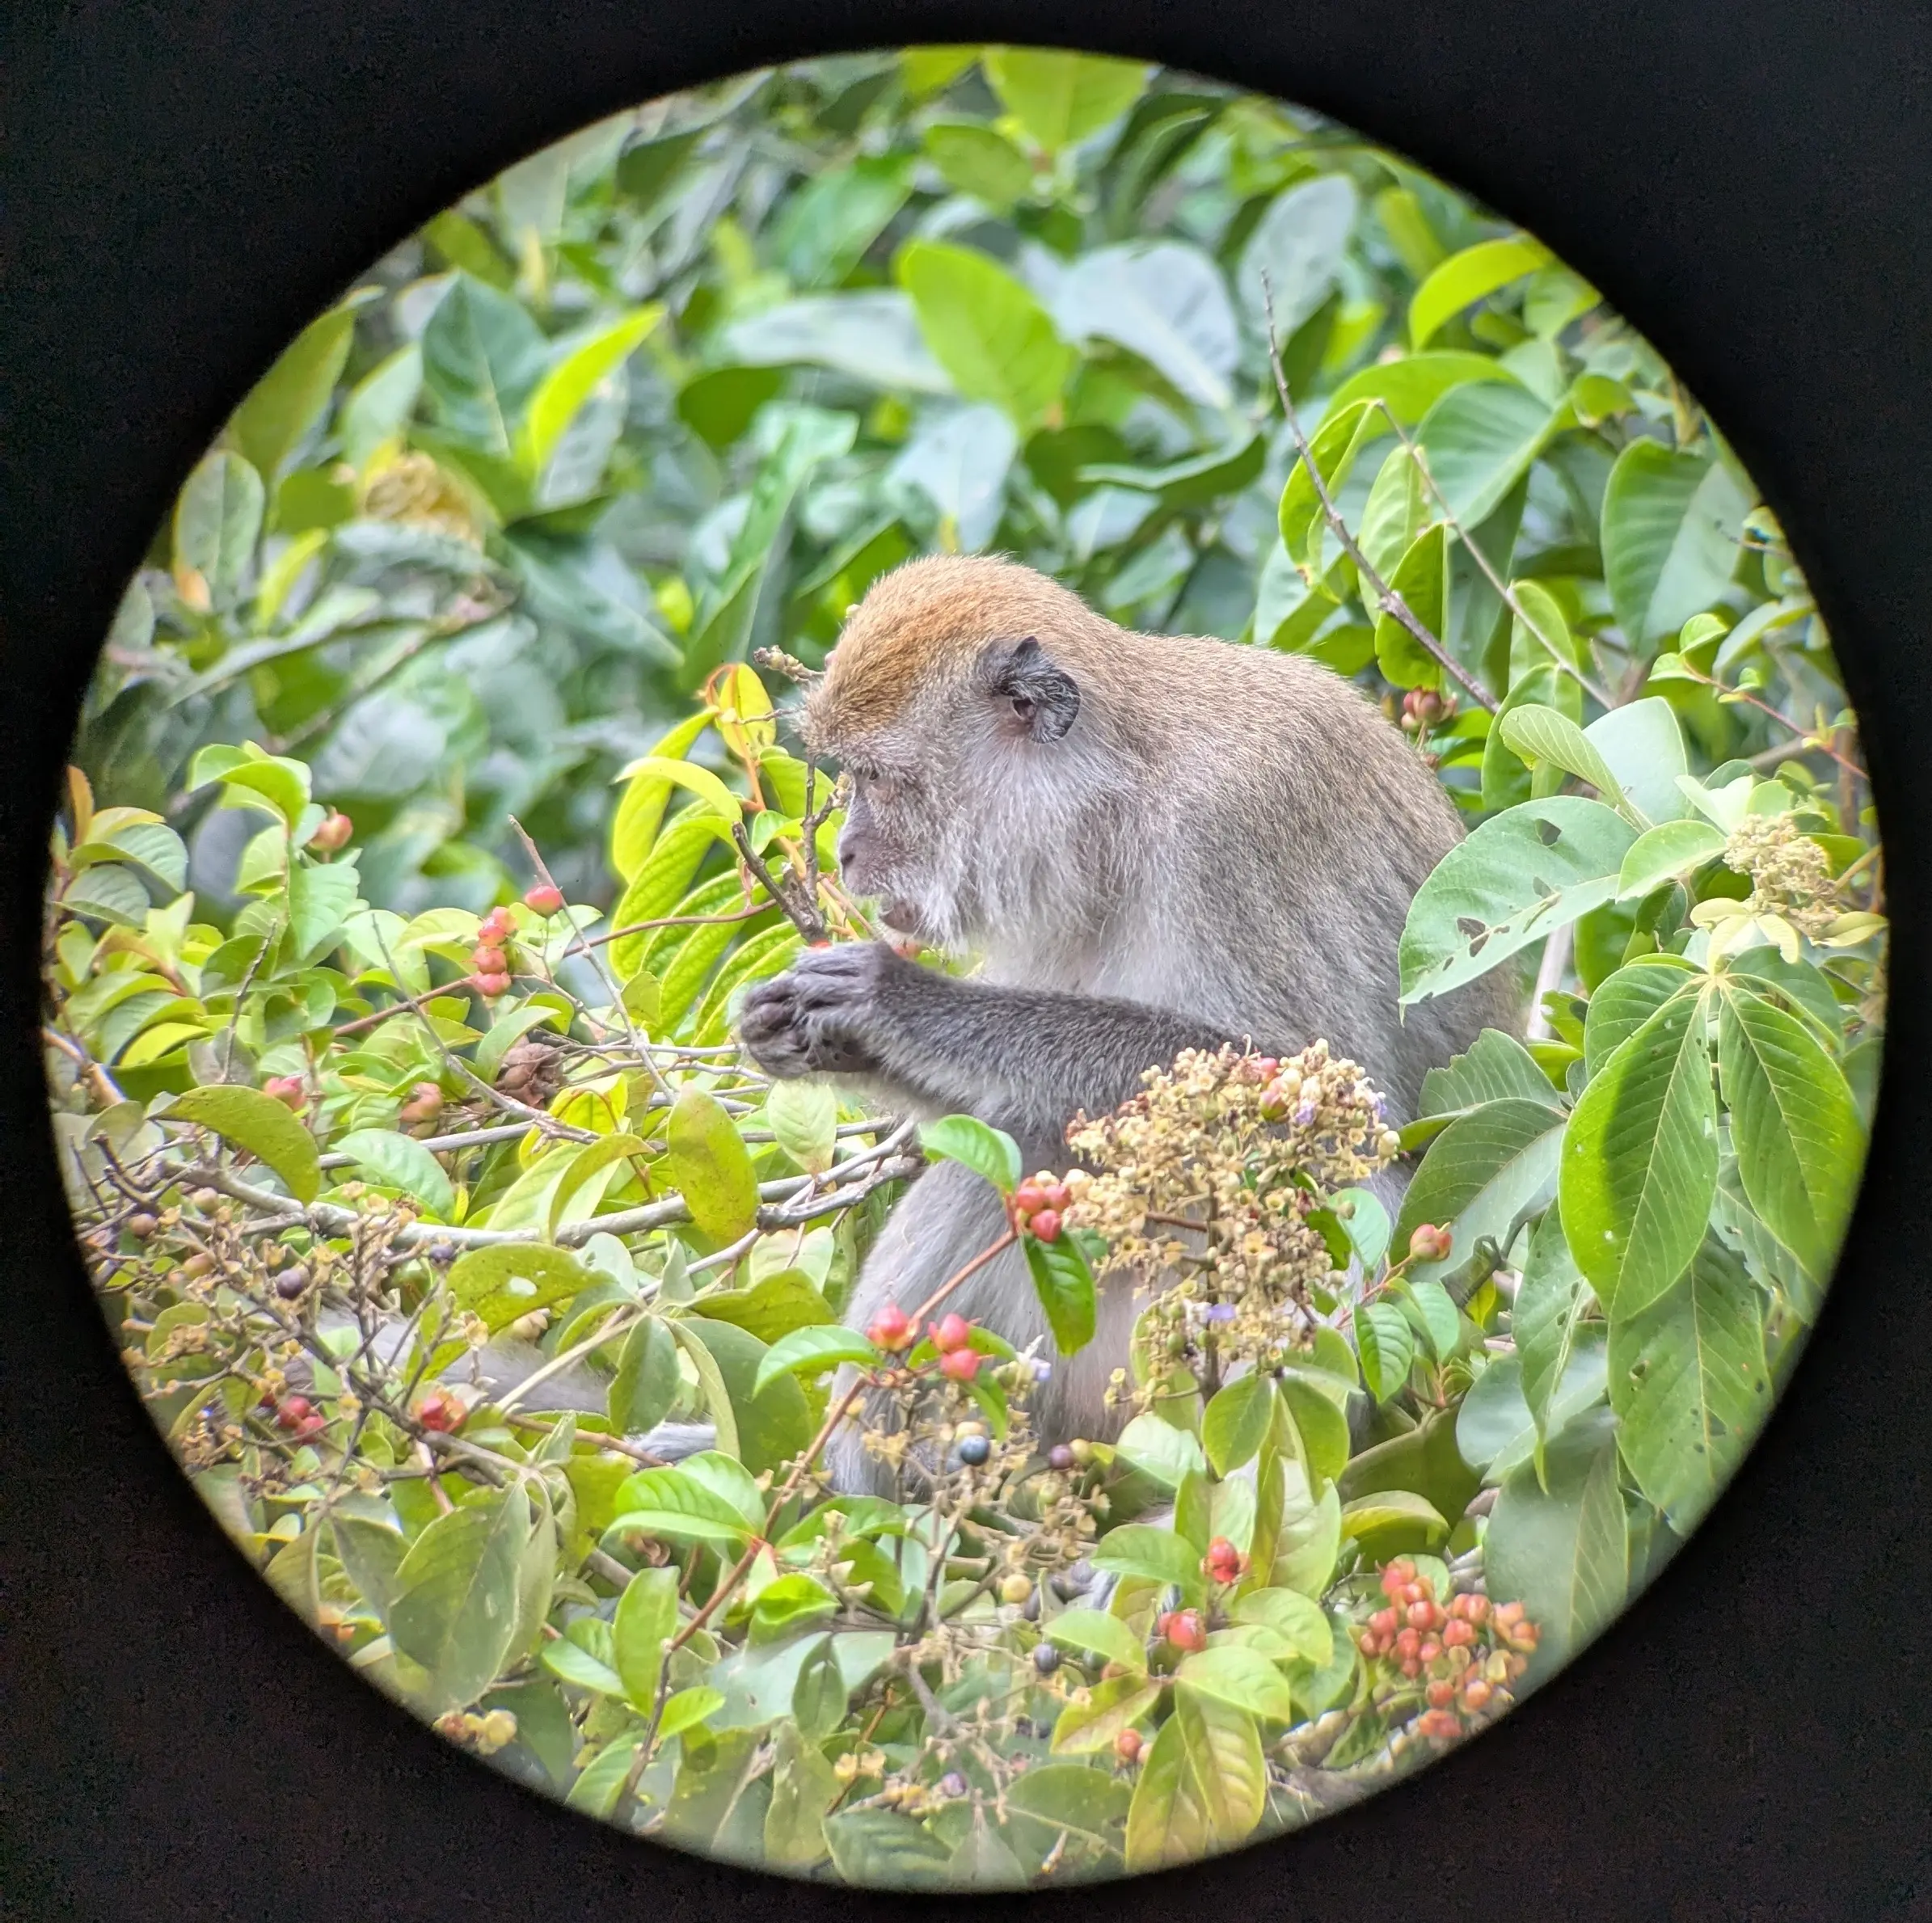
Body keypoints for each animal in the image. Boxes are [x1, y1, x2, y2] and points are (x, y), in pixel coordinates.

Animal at [734, 553, 1520, 1497]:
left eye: (880, 780)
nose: (847, 853)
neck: (1114, 804)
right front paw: (800, 1030)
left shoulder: (1226, 833)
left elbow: (1327, 1107)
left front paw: (895, 1000)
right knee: (1018, 1147)